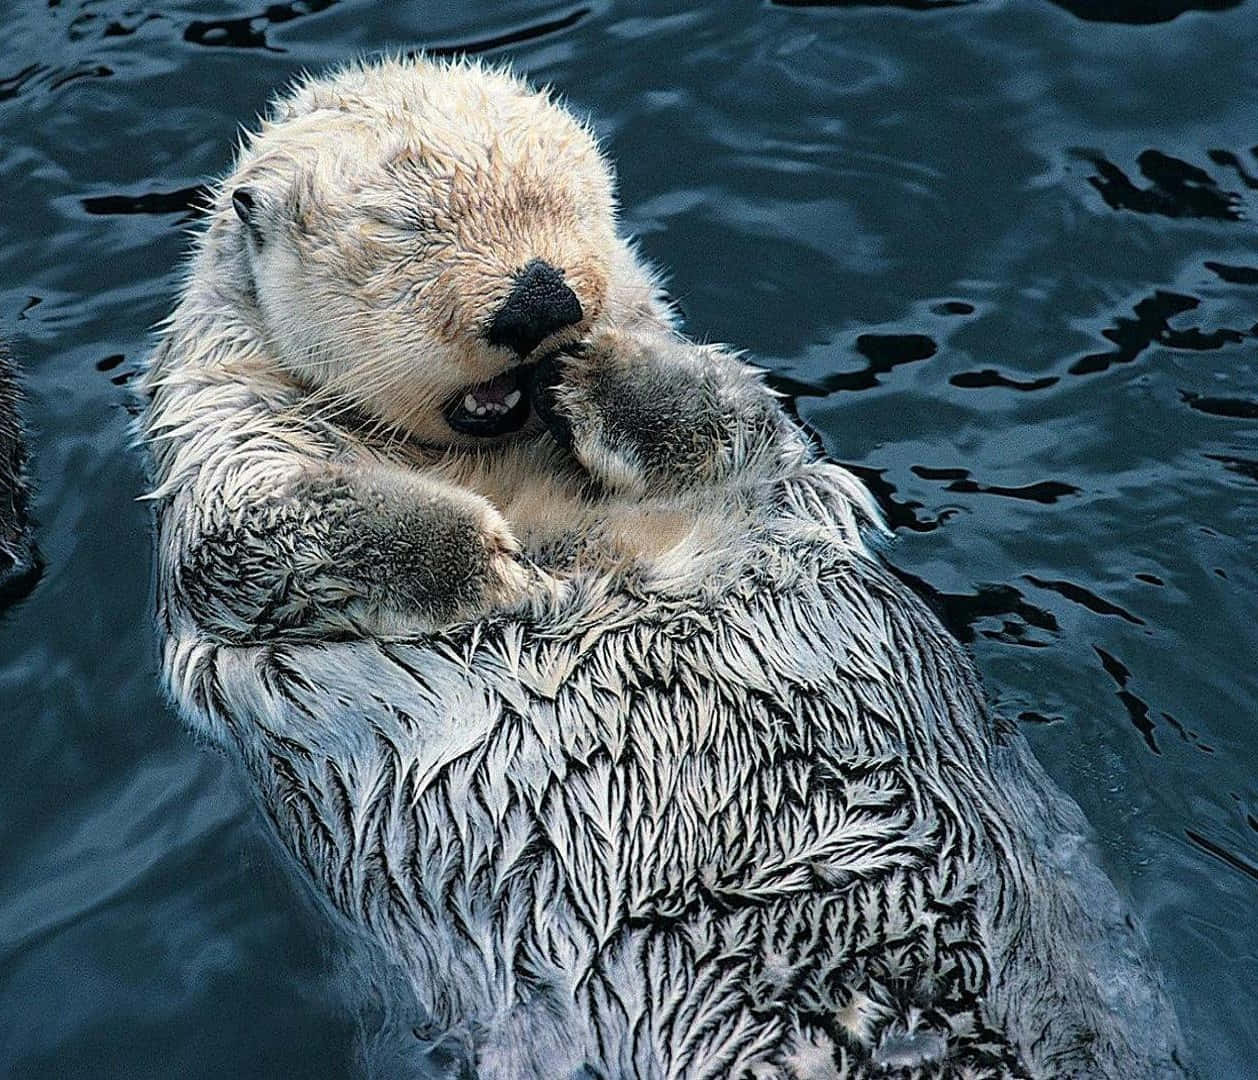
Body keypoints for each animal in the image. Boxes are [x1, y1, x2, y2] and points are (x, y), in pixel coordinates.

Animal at [141, 57, 1188, 1078]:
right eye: (404, 228)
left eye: (569, 202)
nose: (543, 301)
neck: (499, 461)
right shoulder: (223, 443)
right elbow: (251, 538)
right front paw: (496, 565)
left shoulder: (748, 446)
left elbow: (734, 416)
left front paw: (595, 376)